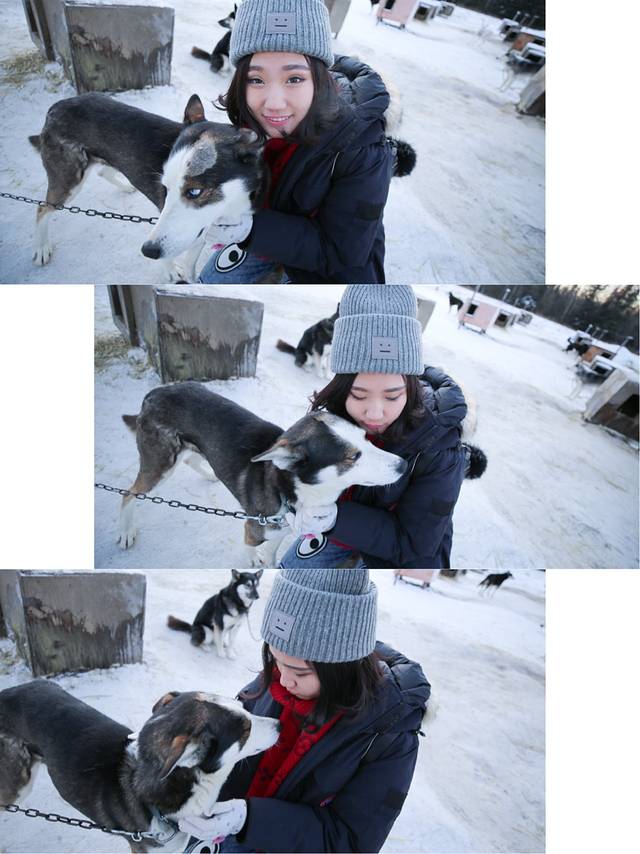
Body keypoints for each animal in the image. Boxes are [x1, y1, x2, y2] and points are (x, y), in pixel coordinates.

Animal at [29, 93, 266, 281]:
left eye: (194, 191)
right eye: (165, 188)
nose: (148, 251)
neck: (228, 210)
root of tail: (55, 107)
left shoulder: (200, 231)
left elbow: (190, 261)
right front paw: (170, 269)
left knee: (103, 171)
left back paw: (126, 186)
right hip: (68, 182)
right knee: (42, 208)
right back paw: (41, 248)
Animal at [118, 381, 407, 566]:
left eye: (366, 438)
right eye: (353, 456)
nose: (404, 465)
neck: (289, 492)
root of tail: (154, 393)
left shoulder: (279, 531)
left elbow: (272, 553)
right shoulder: (252, 528)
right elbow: (251, 549)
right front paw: (254, 561)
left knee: (189, 458)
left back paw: (209, 473)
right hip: (160, 466)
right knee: (128, 494)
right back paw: (126, 532)